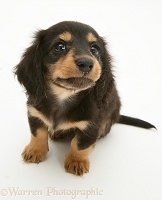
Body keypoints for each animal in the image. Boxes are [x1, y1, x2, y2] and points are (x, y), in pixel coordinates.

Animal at [14, 21, 155, 176]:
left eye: (94, 49)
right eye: (59, 46)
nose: (86, 63)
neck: (64, 96)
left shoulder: (91, 126)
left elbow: (80, 144)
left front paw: (76, 161)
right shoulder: (34, 113)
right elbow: (38, 133)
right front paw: (35, 150)